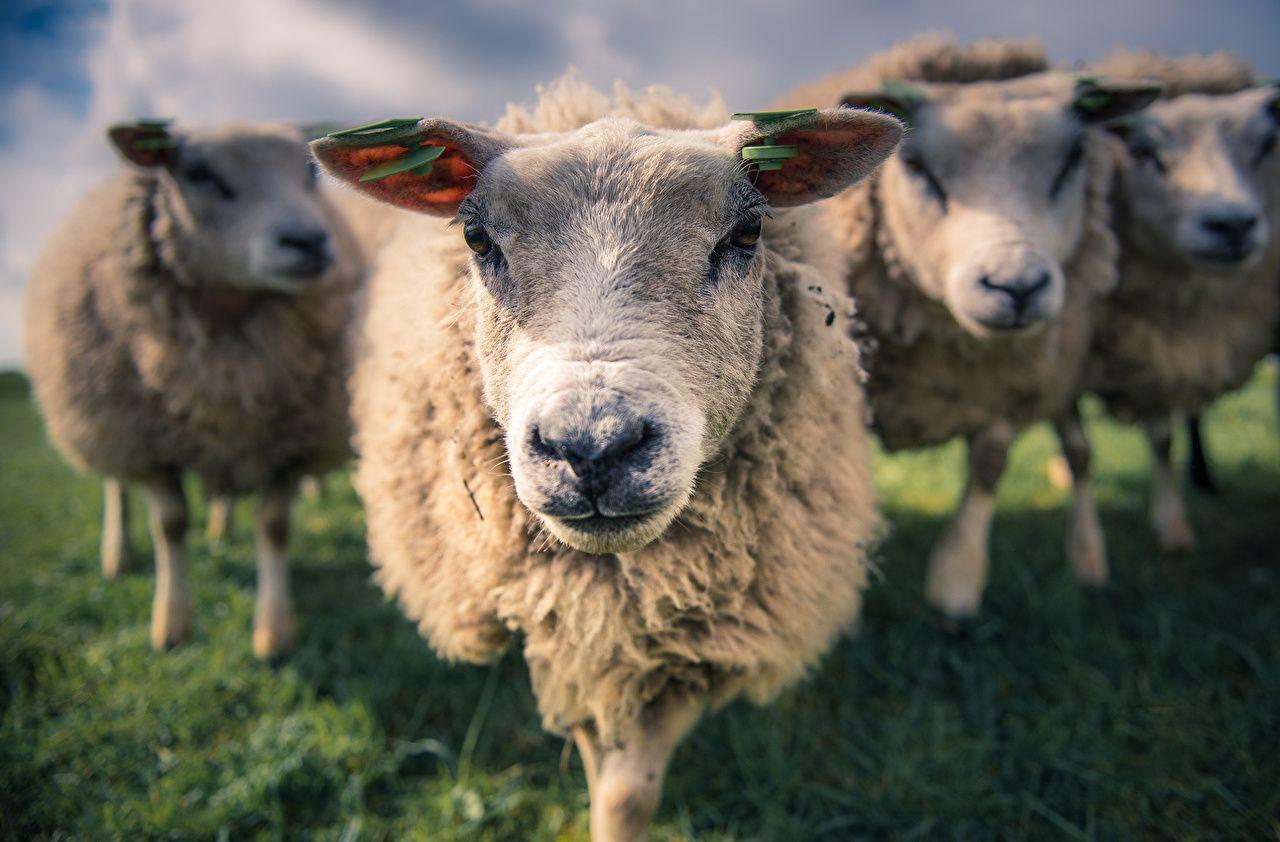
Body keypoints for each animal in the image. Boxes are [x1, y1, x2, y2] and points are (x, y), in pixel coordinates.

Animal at [24, 121, 362, 657]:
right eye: (197, 172)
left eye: (308, 171)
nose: (308, 241)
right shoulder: (148, 443)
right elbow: (171, 525)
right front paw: (171, 626)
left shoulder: (289, 441)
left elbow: (273, 526)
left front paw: (273, 633)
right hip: (104, 418)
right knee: (116, 487)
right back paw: (118, 555)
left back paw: (221, 524)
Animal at [309, 76, 903, 840]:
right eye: (477, 238)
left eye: (747, 235)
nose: (592, 446)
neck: (622, 589)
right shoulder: (577, 624)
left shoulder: (692, 635)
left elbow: (631, 792)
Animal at [778, 36, 1161, 617]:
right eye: (916, 165)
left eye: (1073, 159)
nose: (1016, 287)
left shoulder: (1010, 375)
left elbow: (989, 461)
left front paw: (955, 583)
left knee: (1079, 452)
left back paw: (1091, 559)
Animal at [1064, 51, 1280, 551]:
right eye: (1143, 153)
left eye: (1265, 146)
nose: (1233, 224)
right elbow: (1080, 449)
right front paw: (1089, 553)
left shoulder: (1153, 351)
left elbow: (1163, 436)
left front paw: (1173, 528)